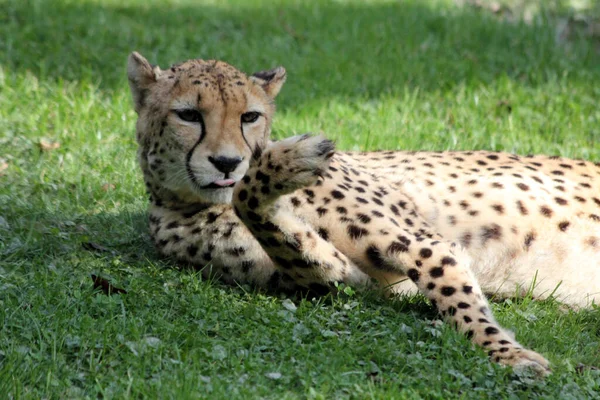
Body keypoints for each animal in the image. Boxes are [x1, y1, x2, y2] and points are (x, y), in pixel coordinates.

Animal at [126, 50, 600, 376]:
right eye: (188, 115)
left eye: (250, 116)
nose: (227, 163)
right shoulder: (344, 279)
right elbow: (273, 224)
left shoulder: (425, 243)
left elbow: (457, 299)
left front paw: (508, 353)